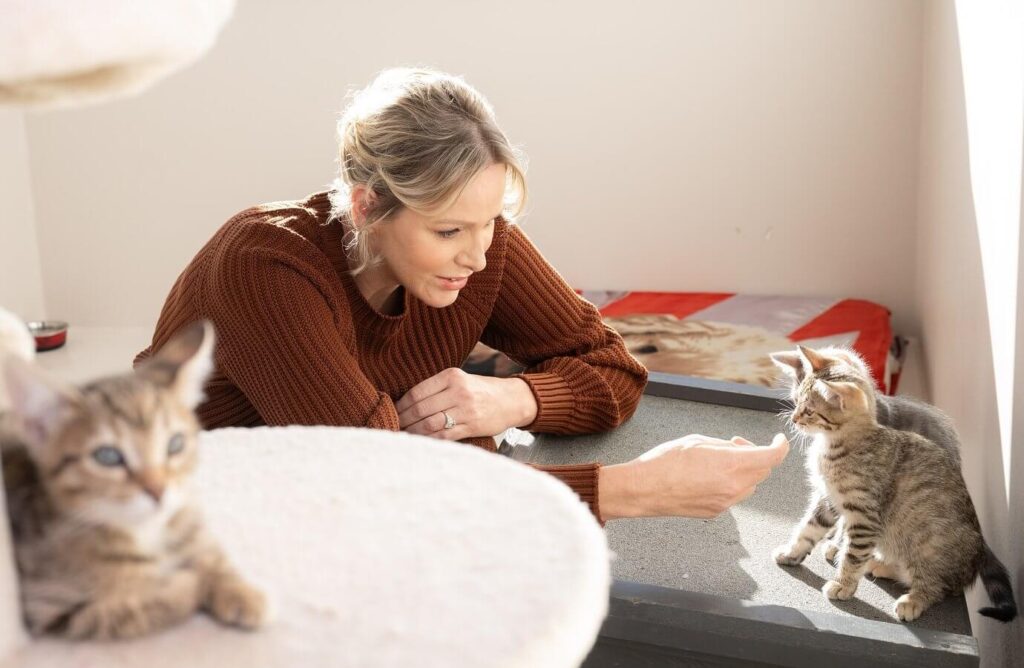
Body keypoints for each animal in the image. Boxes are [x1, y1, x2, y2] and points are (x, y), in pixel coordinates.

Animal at [770, 346, 1015, 622]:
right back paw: (879, 564)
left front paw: (843, 584)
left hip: (930, 544)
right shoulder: (829, 499)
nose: (793, 418)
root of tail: (977, 555)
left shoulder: (864, 515)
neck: (834, 446)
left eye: (809, 410)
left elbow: (853, 555)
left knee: (938, 585)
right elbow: (808, 528)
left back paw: (913, 600)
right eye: (797, 400)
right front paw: (792, 552)